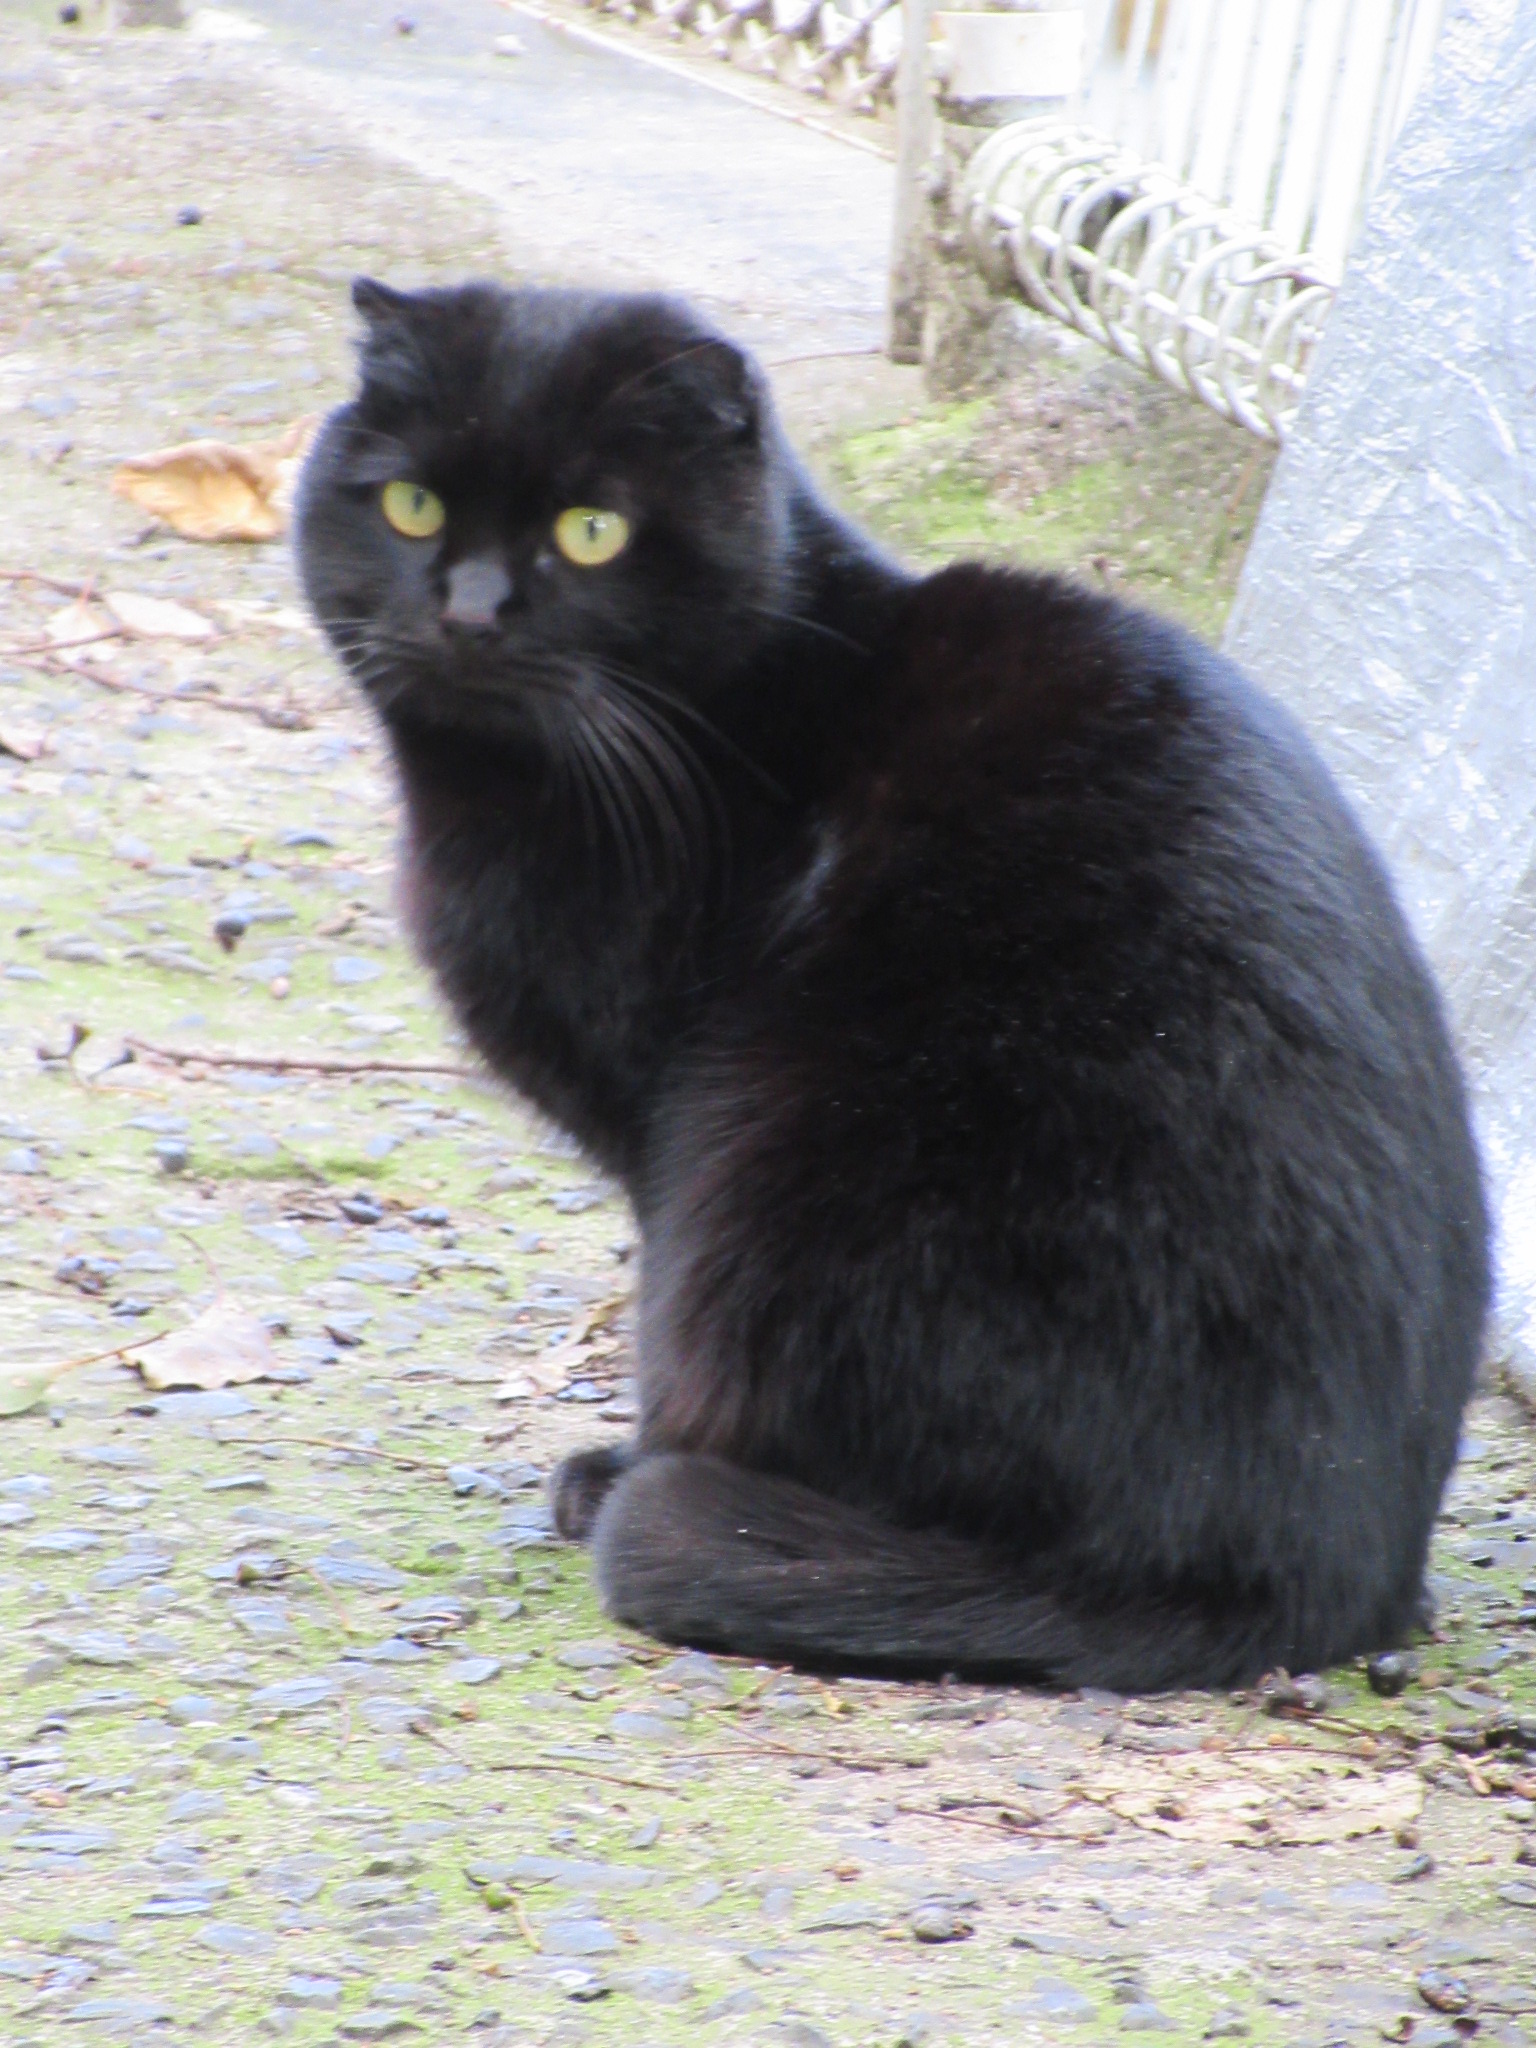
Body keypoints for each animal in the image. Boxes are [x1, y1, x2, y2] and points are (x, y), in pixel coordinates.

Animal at [296, 277, 1489, 1692]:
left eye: (593, 532)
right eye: (413, 504)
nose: (471, 609)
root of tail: (1305, 1586)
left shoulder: (661, 1131)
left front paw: (621, 1457)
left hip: (781, 1160)